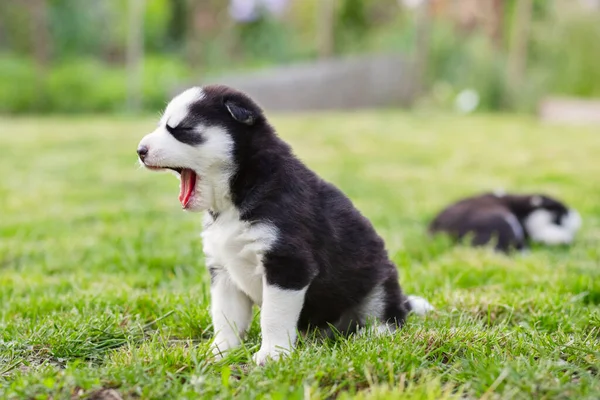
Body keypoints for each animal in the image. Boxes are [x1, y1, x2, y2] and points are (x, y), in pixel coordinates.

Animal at [138, 85, 434, 366]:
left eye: (182, 129)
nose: (140, 150)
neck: (237, 194)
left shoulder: (287, 264)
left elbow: (273, 316)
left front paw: (272, 354)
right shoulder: (223, 272)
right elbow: (225, 317)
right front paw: (221, 351)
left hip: (377, 282)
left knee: (388, 315)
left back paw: (374, 335)